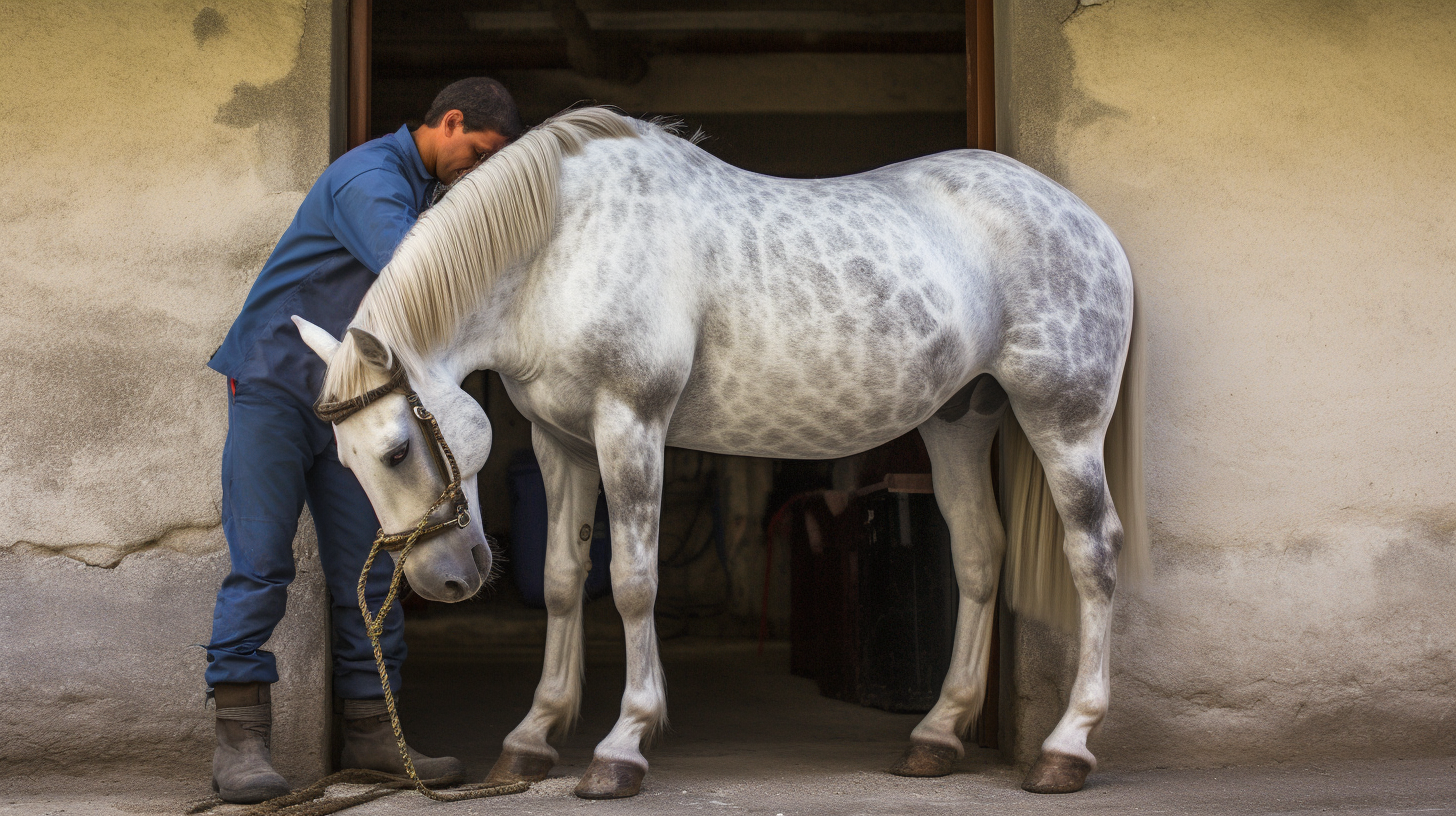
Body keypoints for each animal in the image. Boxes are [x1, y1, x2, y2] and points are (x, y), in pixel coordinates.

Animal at [289, 104, 1141, 798]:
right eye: (350, 463)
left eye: (397, 450)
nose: (445, 580)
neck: (559, 251)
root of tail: (1086, 220)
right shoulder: (561, 442)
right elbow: (563, 580)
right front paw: (532, 738)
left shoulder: (629, 424)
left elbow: (632, 583)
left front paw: (622, 747)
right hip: (960, 421)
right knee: (979, 555)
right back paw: (937, 735)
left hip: (1062, 419)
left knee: (1093, 554)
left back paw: (1067, 747)